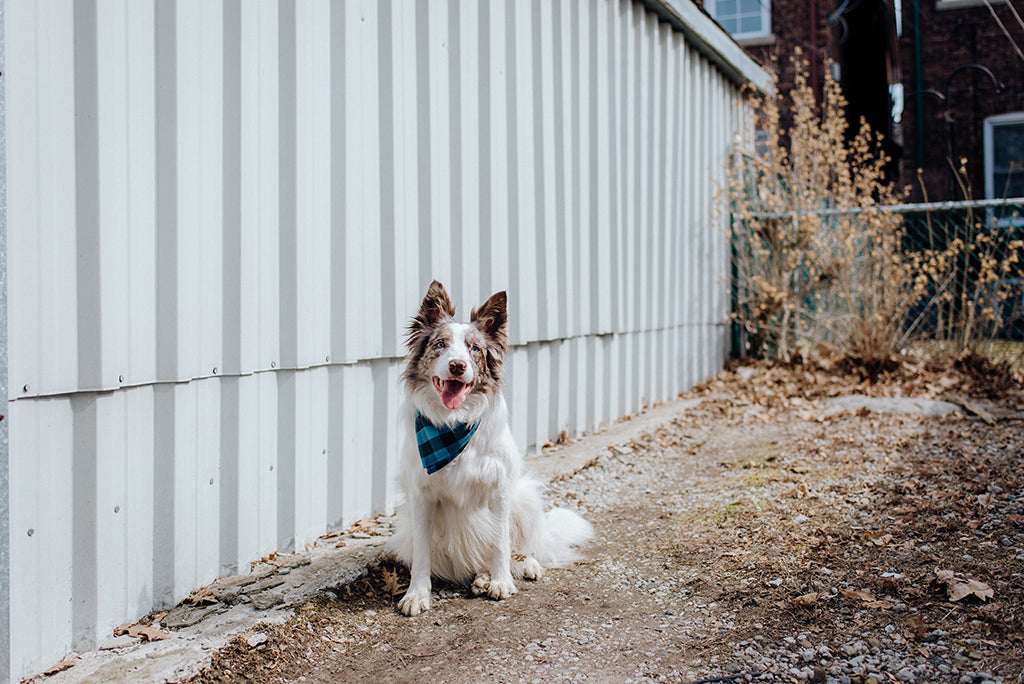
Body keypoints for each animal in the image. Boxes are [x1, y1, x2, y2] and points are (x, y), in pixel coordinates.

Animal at [389, 280, 598, 618]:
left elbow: (500, 542)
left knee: (522, 547)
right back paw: (480, 578)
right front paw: (417, 594)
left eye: (474, 349)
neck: (453, 426)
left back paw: (521, 568)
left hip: (525, 497)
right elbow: (422, 554)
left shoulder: (499, 489)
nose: (457, 366)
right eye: (440, 345)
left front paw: (502, 582)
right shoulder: (420, 497)